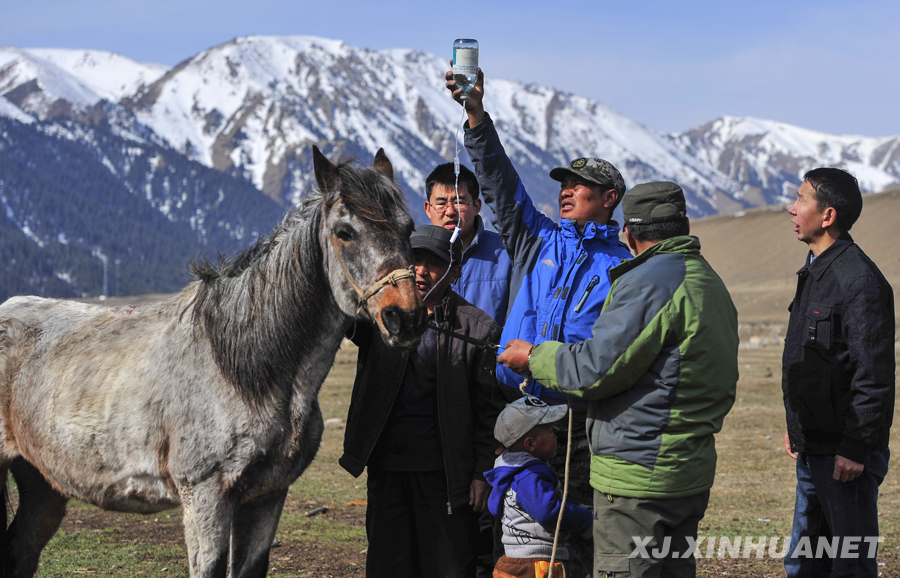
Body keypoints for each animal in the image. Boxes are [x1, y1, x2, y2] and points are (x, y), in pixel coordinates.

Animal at [0, 146, 424, 572]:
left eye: (407, 228)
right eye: (344, 232)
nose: (404, 317)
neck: (244, 370)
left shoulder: (267, 496)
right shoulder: (206, 498)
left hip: (42, 482)